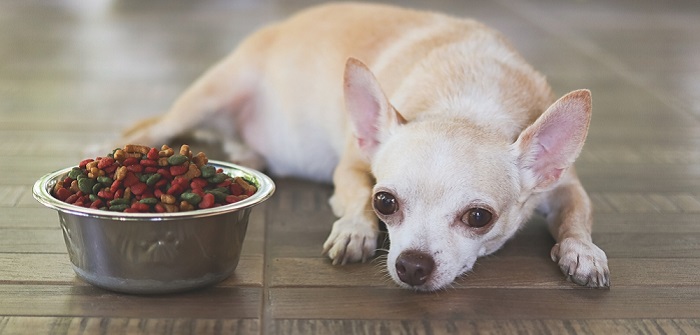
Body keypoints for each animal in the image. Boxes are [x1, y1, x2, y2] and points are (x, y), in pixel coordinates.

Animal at [117, 2, 608, 292]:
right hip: (208, 97)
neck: (469, 104)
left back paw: (249, 154)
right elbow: (353, 197)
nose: (412, 266)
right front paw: (355, 230)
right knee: (148, 128)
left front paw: (582, 251)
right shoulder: (353, 166)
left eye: (479, 218)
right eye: (384, 201)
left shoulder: (565, 185)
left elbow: (577, 215)